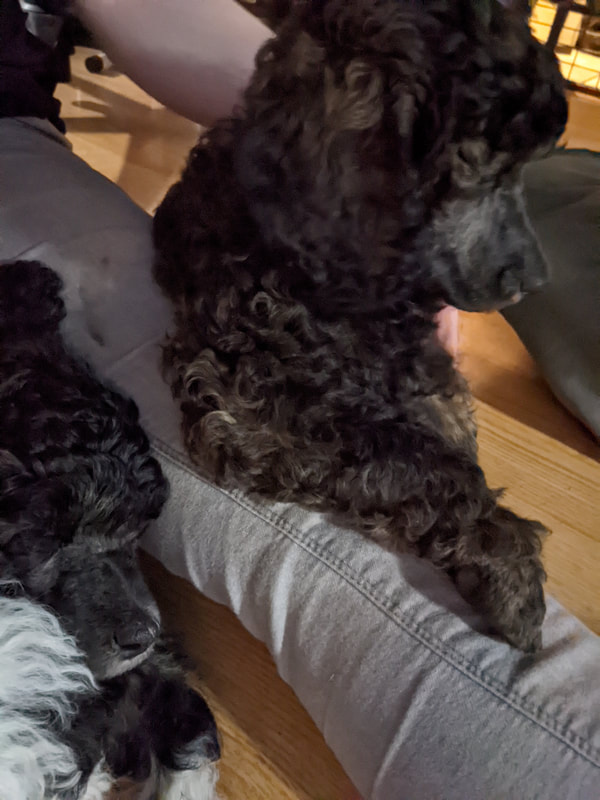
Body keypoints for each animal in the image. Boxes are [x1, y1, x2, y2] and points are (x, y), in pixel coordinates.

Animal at [152, 0, 568, 652]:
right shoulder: (249, 405)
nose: (537, 281)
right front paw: (510, 568)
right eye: (474, 163)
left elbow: (444, 419)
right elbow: (425, 457)